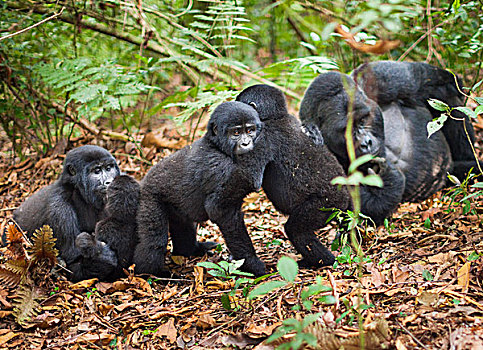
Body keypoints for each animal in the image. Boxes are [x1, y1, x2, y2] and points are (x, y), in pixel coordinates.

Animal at [13, 145, 121, 282]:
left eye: (108, 168)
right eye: (97, 171)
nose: (109, 182)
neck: (78, 191)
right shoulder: (59, 209)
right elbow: (73, 265)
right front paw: (99, 251)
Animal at [132, 100, 268, 276]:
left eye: (250, 130)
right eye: (236, 132)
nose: (246, 143)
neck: (216, 145)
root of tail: (142, 182)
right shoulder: (217, 166)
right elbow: (222, 211)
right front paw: (252, 264)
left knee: (184, 226)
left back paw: (191, 250)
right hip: (149, 199)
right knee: (154, 241)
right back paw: (150, 272)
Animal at [237, 85, 352, 270]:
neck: (276, 116)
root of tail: (345, 197)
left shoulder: (262, 137)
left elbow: (251, 178)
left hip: (327, 204)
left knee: (297, 230)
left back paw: (323, 261)